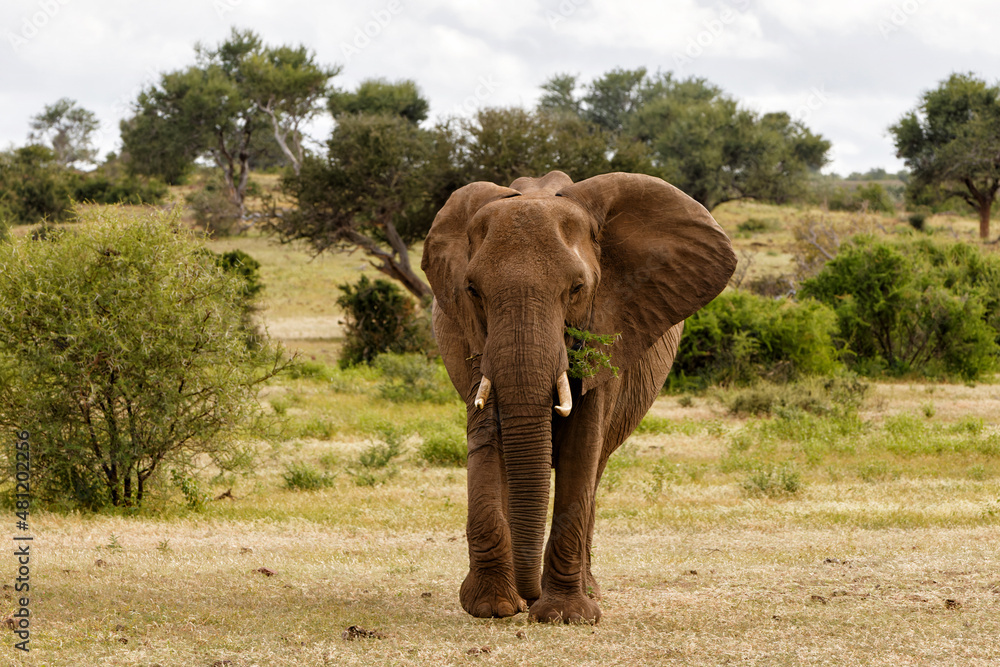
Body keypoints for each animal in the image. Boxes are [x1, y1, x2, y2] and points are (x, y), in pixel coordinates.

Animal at [418, 170, 740, 624]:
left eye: (576, 289)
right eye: (473, 290)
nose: (528, 597)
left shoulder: (610, 325)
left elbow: (582, 448)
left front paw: (565, 616)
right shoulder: (471, 339)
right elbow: (486, 438)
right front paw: (492, 608)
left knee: (597, 465)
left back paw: (589, 591)